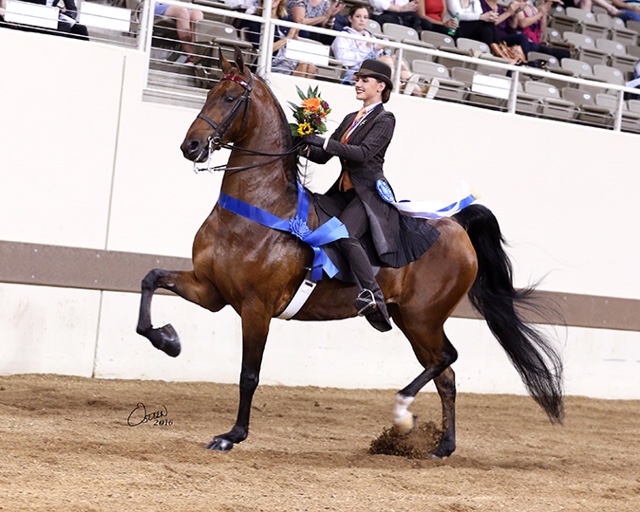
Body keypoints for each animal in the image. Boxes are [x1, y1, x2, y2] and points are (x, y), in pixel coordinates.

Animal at [136, 47, 564, 457]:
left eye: (228, 98)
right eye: (208, 92)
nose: (190, 147)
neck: (255, 209)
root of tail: (457, 224)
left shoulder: (256, 308)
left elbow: (248, 375)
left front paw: (232, 436)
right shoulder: (211, 291)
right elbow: (151, 281)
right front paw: (168, 339)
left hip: (423, 318)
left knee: (446, 359)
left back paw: (402, 414)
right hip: (410, 319)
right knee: (445, 374)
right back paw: (442, 446)